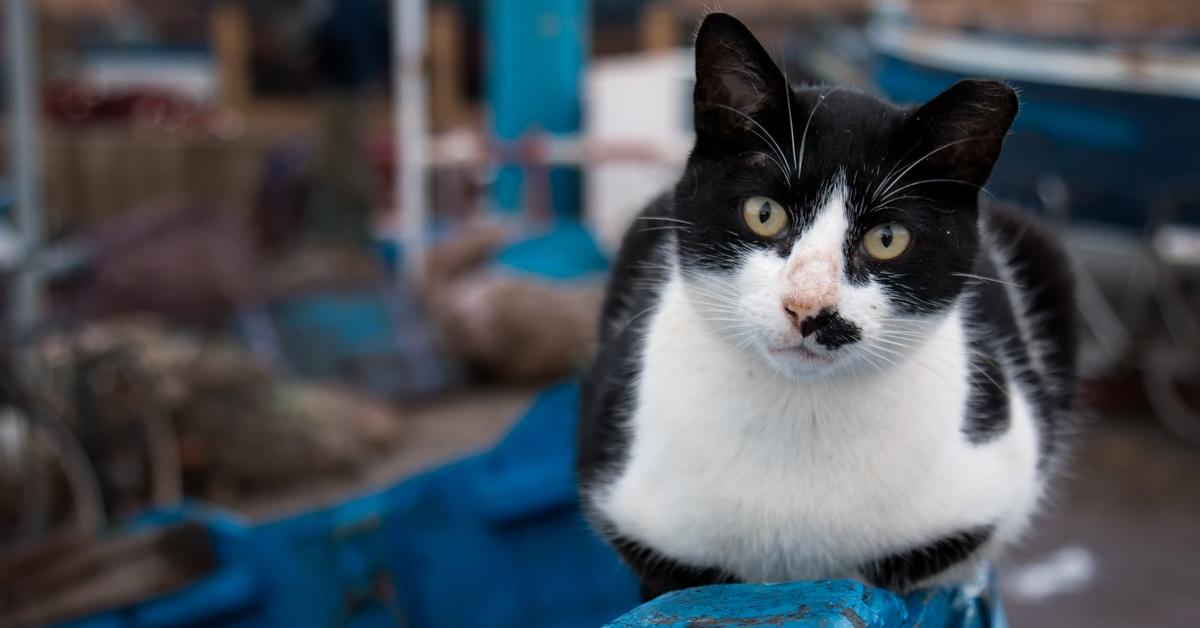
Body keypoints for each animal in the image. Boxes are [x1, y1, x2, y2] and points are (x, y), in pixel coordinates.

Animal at [573, 12, 1080, 602]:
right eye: (764, 212)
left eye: (887, 238)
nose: (809, 308)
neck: (800, 413)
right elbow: (683, 580)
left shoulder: (995, 480)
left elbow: (898, 566)